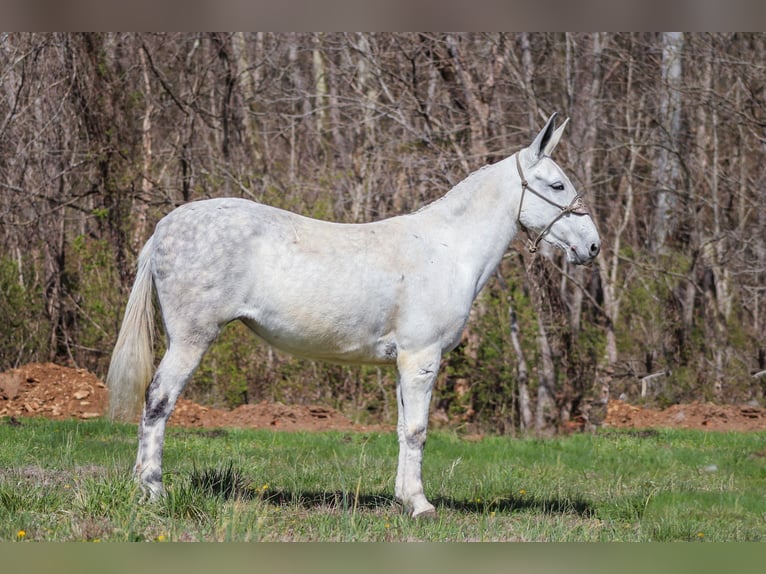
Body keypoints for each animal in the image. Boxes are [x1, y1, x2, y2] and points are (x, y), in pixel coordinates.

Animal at [106, 115, 600, 520]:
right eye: (557, 185)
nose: (593, 246)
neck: (446, 249)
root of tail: (163, 228)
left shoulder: (403, 361)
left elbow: (402, 429)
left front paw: (403, 499)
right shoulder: (422, 358)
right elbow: (418, 431)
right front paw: (421, 506)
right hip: (191, 339)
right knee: (158, 401)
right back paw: (153, 492)